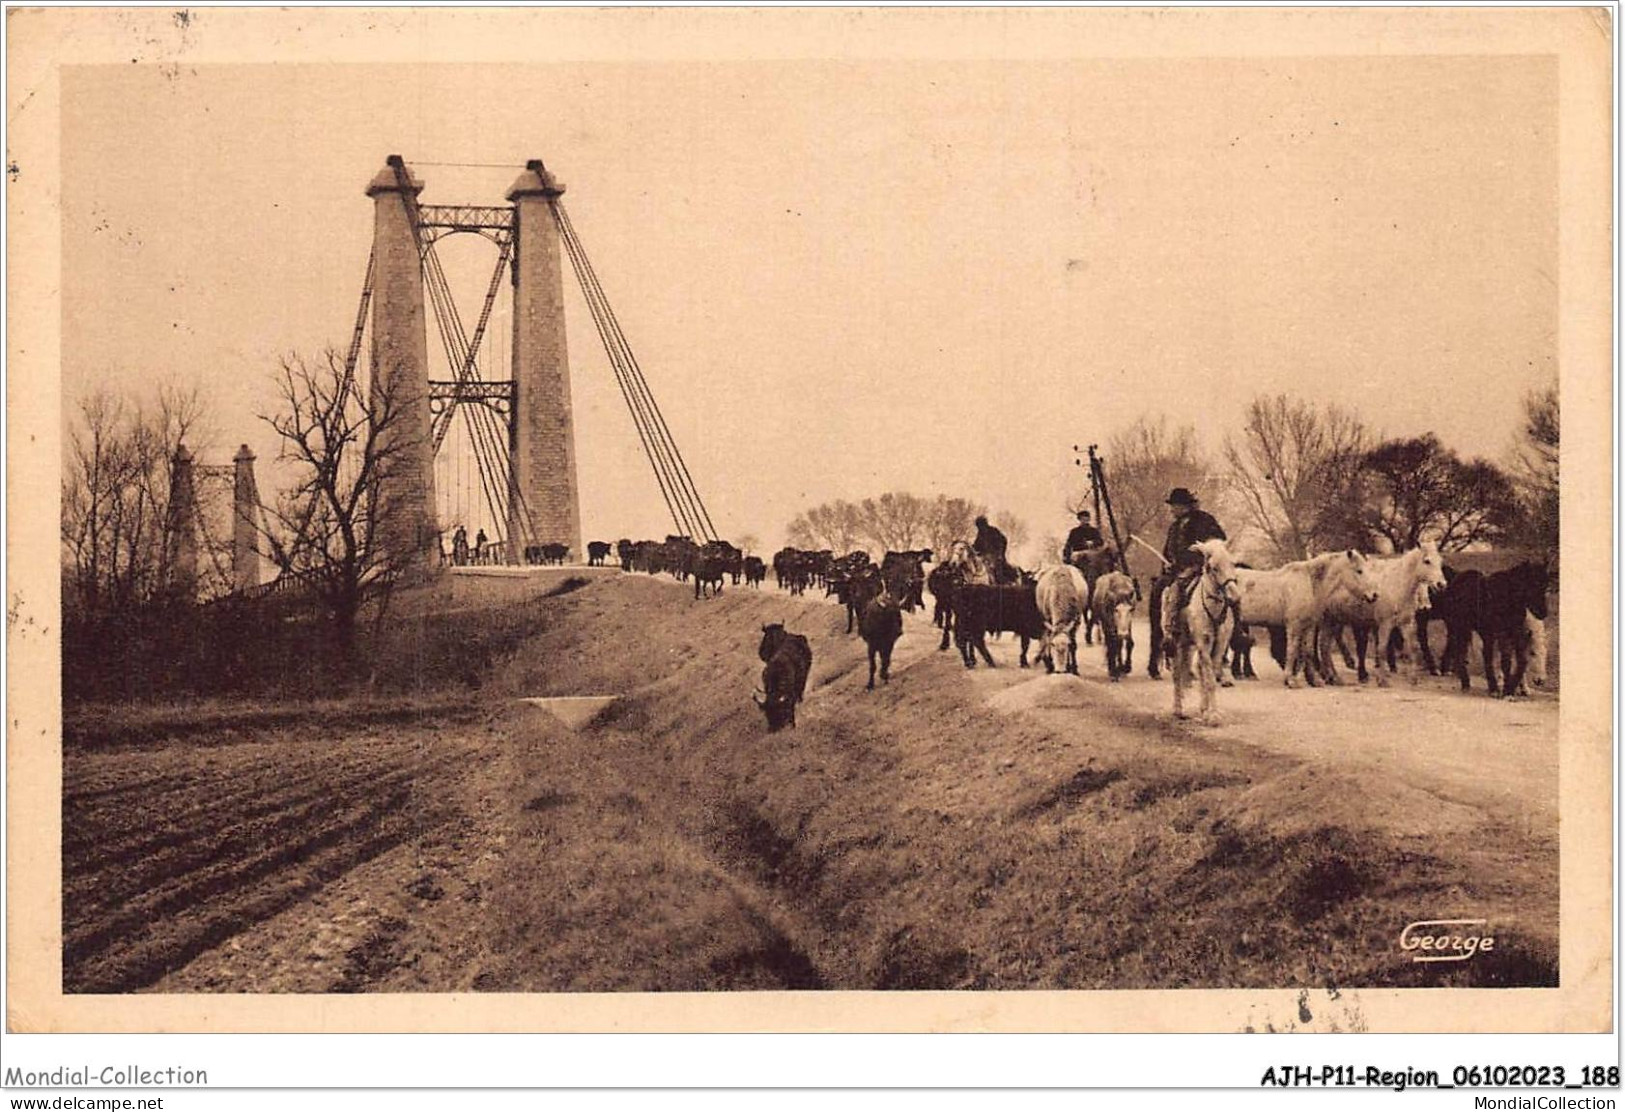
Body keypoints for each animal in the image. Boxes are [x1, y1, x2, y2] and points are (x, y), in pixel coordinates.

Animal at [1170, 542, 1241, 725]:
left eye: (1232, 564)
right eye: (1213, 568)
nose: (1235, 596)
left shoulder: (1219, 645)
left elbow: (1211, 676)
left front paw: (1209, 712)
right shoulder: (1203, 643)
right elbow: (1209, 680)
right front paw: (1213, 716)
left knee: (1198, 669)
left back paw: (1202, 708)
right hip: (1179, 643)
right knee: (1177, 674)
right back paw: (1178, 709)